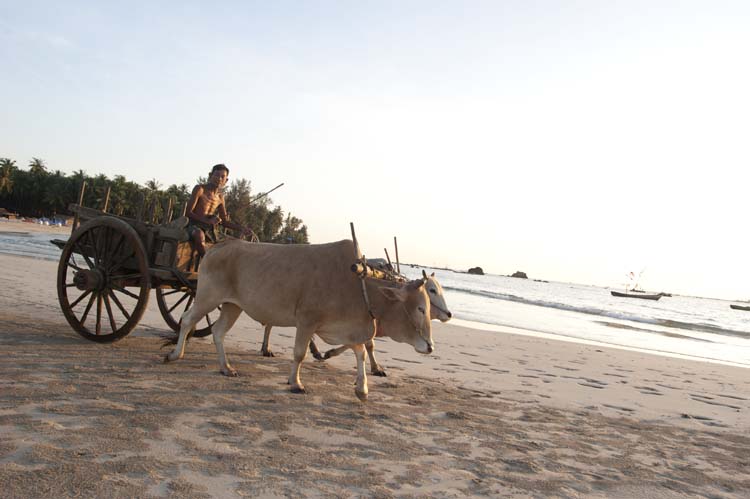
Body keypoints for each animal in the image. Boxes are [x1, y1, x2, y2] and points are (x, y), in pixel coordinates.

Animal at [259, 271, 452, 377]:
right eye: (432, 290)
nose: (449, 314)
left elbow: (361, 344)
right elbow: (368, 345)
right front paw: (375, 368)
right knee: (270, 323)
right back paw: (267, 348)